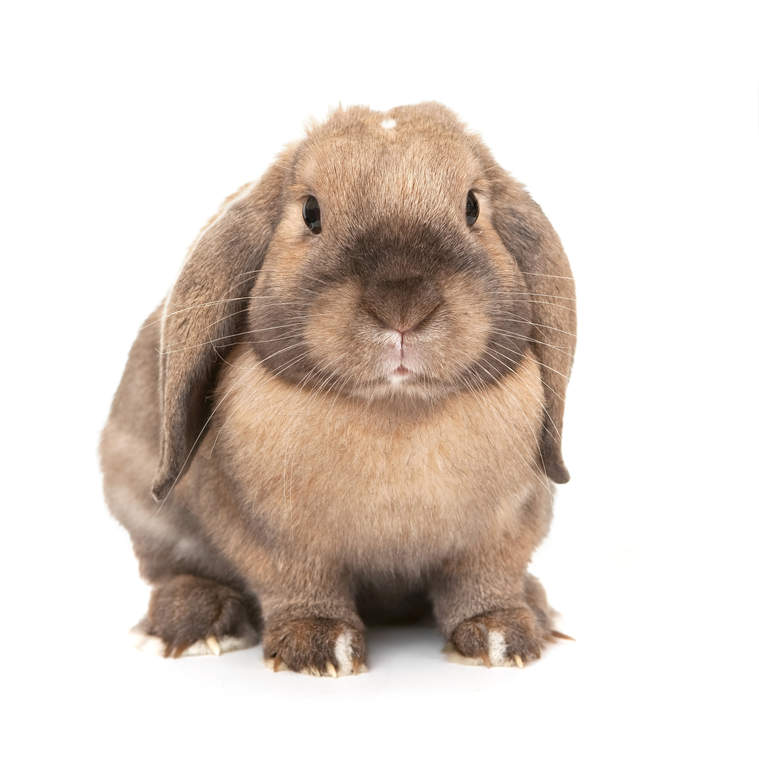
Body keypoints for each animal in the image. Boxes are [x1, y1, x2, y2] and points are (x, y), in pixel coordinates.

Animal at [100, 102, 576, 675]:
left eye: (472, 207)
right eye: (311, 212)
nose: (402, 305)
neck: (396, 411)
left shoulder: (501, 531)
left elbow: (484, 581)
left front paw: (501, 635)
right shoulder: (275, 538)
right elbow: (297, 582)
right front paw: (319, 646)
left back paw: (537, 606)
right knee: (173, 571)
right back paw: (197, 622)